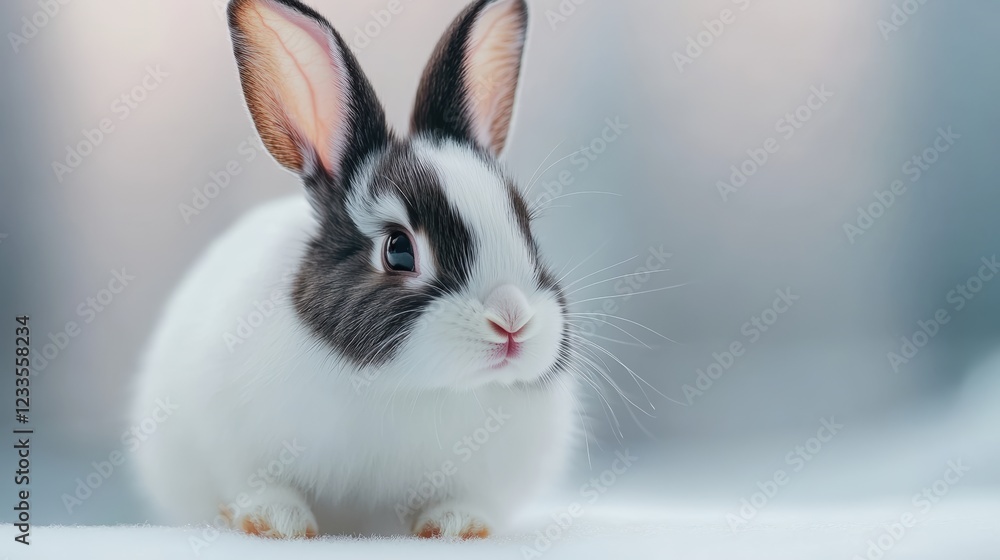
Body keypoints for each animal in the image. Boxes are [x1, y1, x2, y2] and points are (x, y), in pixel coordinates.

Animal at [132, 0, 581, 541]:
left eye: (526, 227)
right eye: (398, 251)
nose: (512, 322)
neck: (408, 385)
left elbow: (464, 499)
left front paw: (456, 526)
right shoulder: (234, 447)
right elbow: (261, 486)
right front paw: (278, 523)